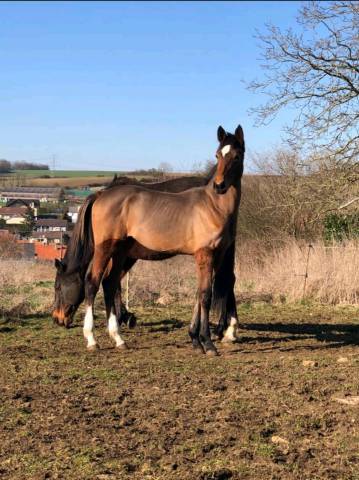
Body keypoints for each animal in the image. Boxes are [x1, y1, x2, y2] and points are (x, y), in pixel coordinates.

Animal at [76, 125, 245, 354]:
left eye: (236, 156)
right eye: (218, 155)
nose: (219, 186)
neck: (213, 206)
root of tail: (100, 194)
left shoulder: (216, 257)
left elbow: (199, 293)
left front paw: (195, 339)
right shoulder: (205, 255)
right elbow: (205, 296)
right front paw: (207, 343)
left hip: (120, 251)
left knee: (109, 283)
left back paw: (118, 338)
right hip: (105, 248)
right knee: (92, 282)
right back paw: (92, 340)